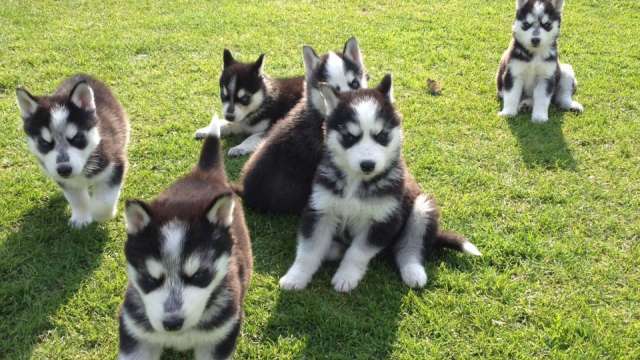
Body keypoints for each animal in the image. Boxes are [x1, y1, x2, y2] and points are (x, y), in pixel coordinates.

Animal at [15, 74, 129, 228]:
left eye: (77, 138)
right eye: (44, 143)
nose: (64, 170)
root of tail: (80, 74)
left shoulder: (114, 165)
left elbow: (104, 201)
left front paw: (100, 214)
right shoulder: (65, 182)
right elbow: (77, 199)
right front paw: (81, 218)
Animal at [119, 121, 251, 360]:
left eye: (199, 275)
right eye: (150, 279)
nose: (172, 323)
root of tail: (204, 173)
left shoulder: (219, 338)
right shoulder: (136, 336)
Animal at [280, 74, 480, 292]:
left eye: (381, 135)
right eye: (350, 137)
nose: (368, 165)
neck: (357, 182)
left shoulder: (385, 220)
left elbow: (357, 253)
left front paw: (346, 277)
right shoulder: (320, 209)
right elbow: (309, 250)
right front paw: (295, 277)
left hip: (422, 207)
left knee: (410, 247)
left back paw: (413, 271)